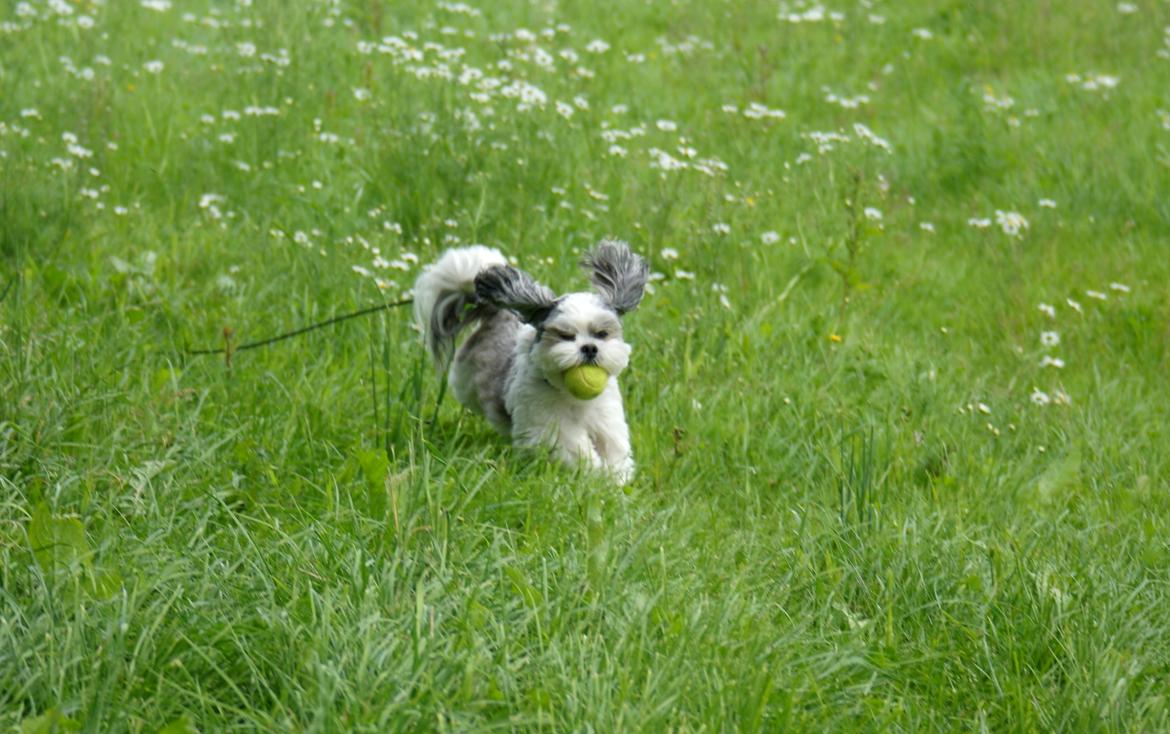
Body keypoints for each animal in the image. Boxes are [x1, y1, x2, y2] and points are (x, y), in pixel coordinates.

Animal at [414, 238, 650, 484]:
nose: (589, 348)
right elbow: (575, 448)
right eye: (566, 335)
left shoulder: (606, 420)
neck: (571, 397)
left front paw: (616, 480)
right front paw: (594, 473)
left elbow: (614, 449)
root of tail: (499, 314)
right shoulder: (549, 427)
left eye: (602, 334)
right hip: (465, 383)